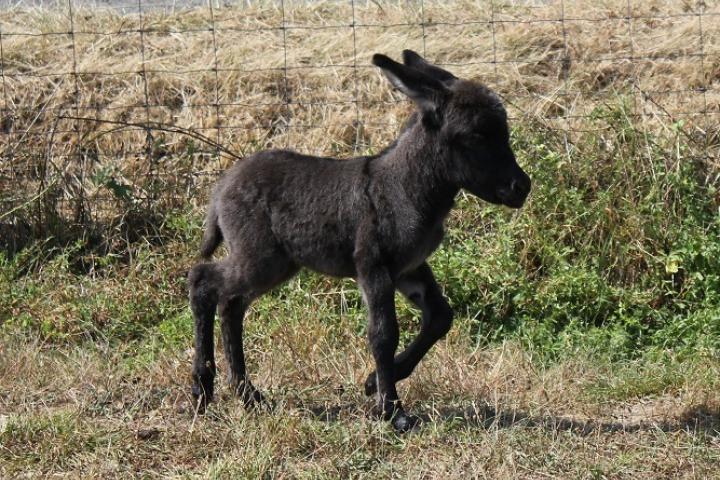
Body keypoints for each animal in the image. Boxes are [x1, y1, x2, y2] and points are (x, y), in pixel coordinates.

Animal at [188, 50, 532, 434]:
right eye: (475, 135)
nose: (522, 187)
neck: (405, 187)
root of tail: (223, 185)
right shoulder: (373, 266)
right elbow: (383, 333)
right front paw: (393, 411)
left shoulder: (409, 267)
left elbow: (441, 317)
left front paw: (375, 383)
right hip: (260, 258)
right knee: (203, 282)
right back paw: (203, 390)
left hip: (275, 264)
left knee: (231, 304)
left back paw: (247, 395)